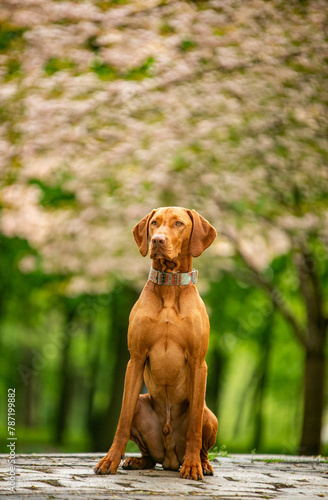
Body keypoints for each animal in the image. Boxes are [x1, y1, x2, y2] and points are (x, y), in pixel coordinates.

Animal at [94, 205, 218, 478]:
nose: (157, 240)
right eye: (154, 223)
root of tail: (170, 458)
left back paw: (201, 463)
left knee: (201, 437)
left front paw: (192, 466)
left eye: (179, 223)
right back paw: (137, 461)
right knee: (149, 455)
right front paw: (110, 460)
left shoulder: (199, 363)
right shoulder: (136, 359)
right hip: (142, 405)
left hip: (209, 414)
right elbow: (122, 419)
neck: (170, 287)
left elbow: (194, 429)